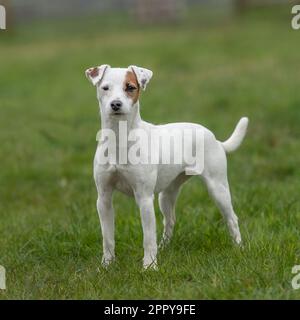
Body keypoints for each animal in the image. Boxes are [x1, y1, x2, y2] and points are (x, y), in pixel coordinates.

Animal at [85, 65, 248, 270]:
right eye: (105, 88)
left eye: (130, 87)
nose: (115, 104)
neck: (119, 139)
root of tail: (215, 138)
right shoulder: (104, 199)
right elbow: (107, 237)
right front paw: (107, 265)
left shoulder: (144, 198)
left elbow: (148, 238)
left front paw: (149, 266)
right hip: (166, 194)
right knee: (169, 221)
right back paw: (163, 247)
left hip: (217, 189)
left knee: (232, 218)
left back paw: (239, 248)